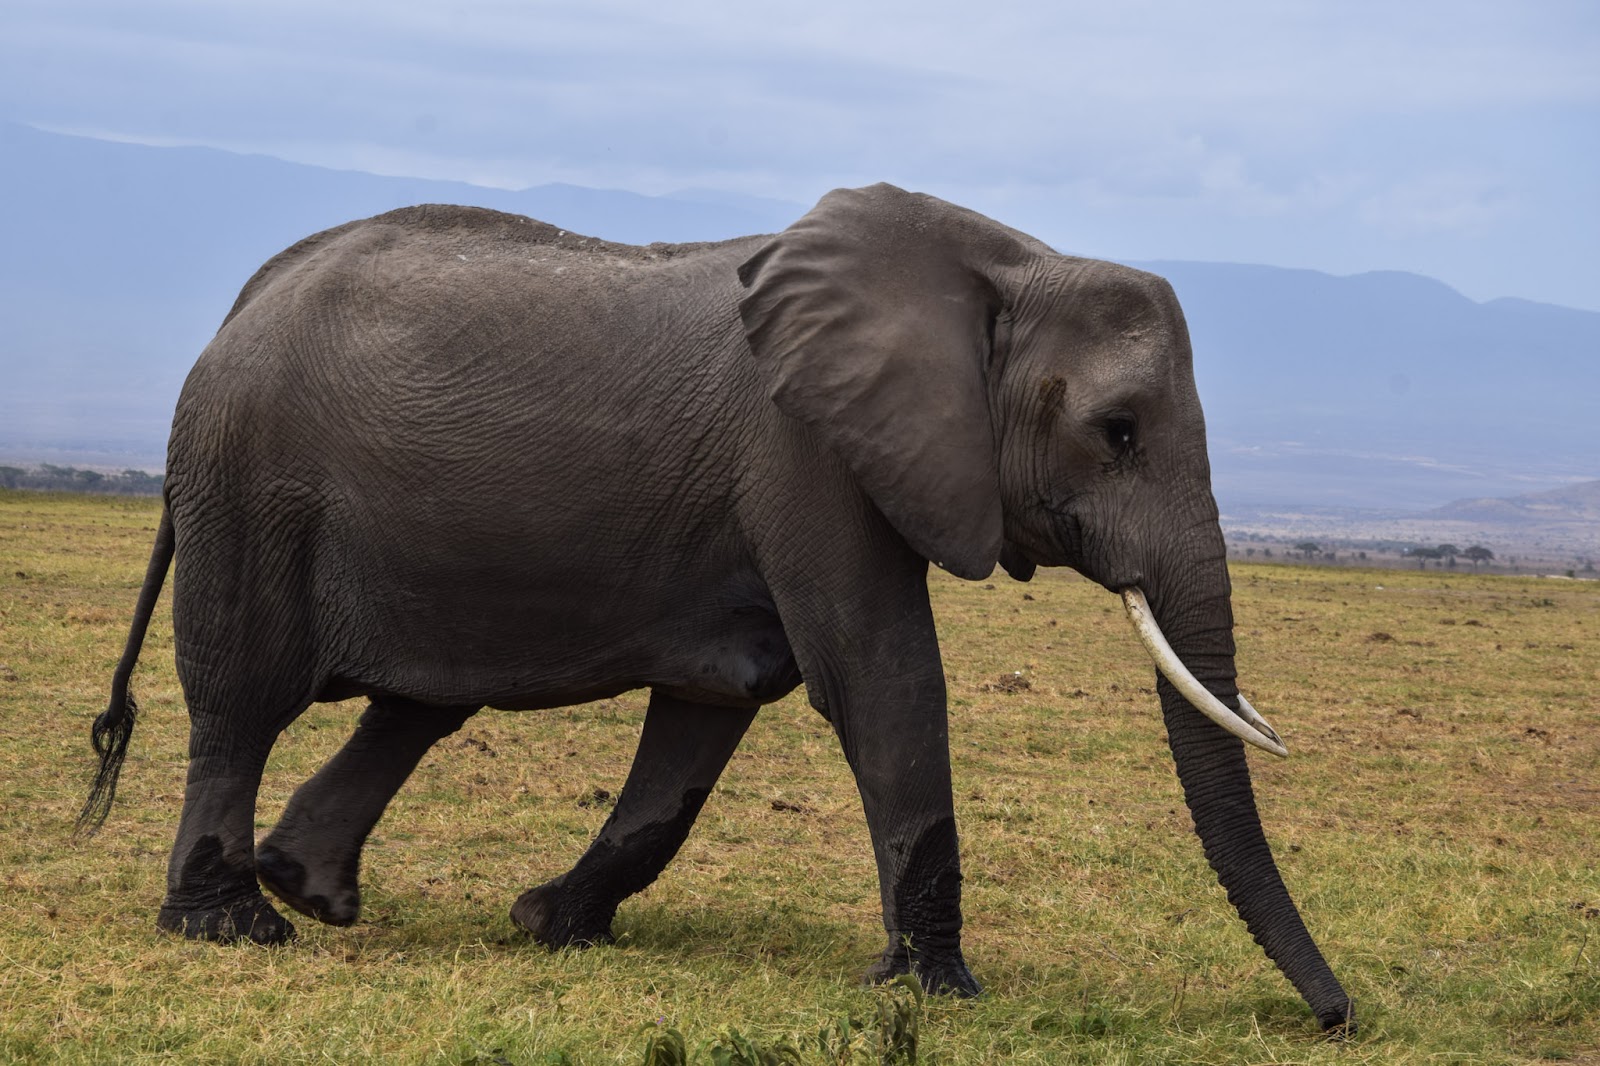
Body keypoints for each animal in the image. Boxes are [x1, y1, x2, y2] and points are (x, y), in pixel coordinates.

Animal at [80, 183, 1354, 1033]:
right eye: (1119, 433)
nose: (1337, 1018)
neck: (1004, 259)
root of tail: (245, 299)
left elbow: (710, 710)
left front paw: (550, 926)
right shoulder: (806, 450)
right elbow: (877, 674)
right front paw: (937, 993)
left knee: (418, 702)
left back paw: (310, 888)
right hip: (249, 482)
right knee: (240, 700)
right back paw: (234, 924)